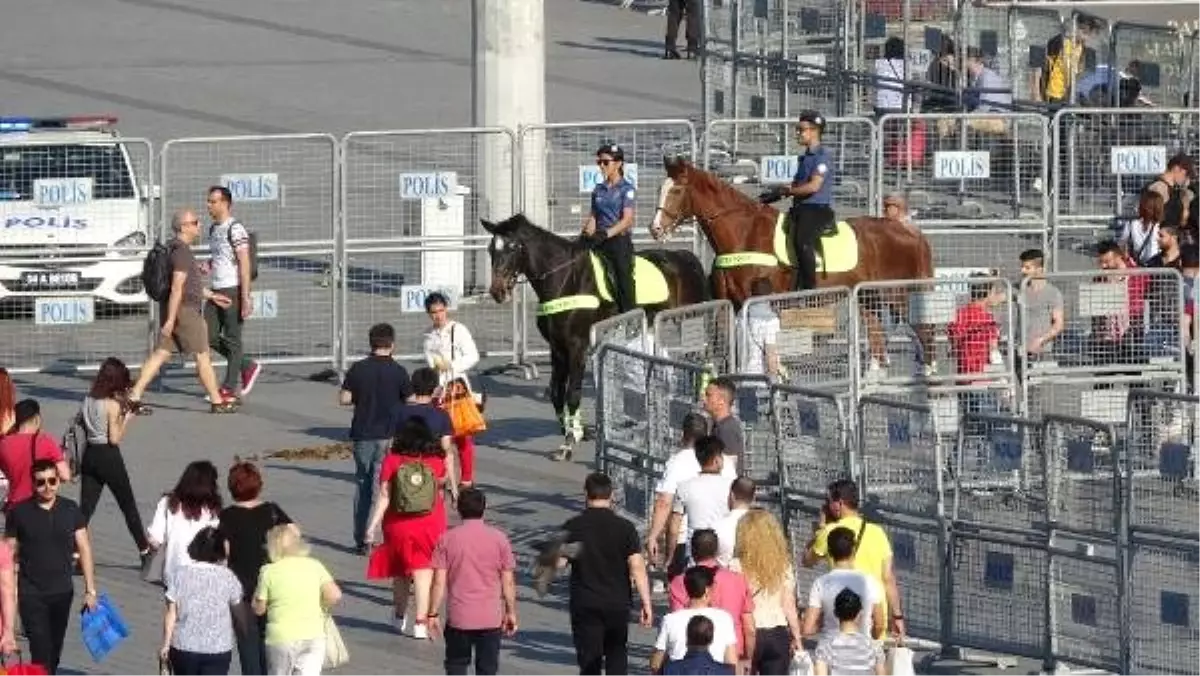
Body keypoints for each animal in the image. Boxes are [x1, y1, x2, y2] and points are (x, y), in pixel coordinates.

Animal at [648, 156, 936, 372]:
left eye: (676, 190)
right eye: (661, 189)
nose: (655, 229)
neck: (744, 233)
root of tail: (908, 229)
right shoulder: (732, 303)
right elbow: (727, 345)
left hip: (899, 294)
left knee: (923, 331)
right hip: (869, 296)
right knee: (876, 331)